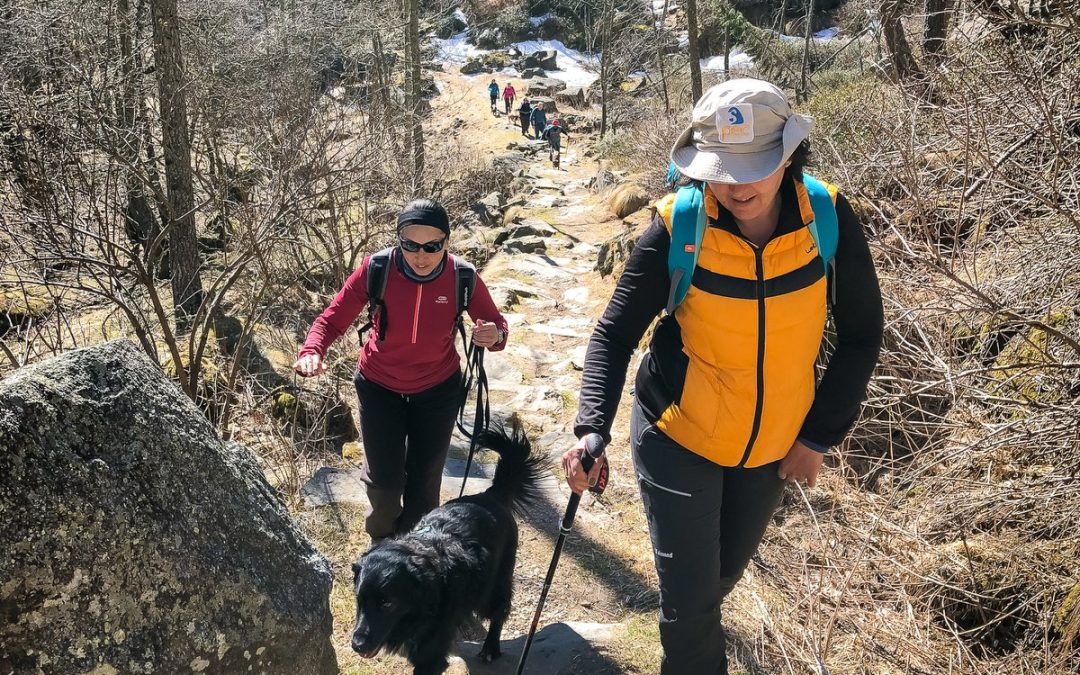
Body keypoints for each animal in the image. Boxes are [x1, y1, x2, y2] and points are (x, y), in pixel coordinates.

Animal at [352, 423, 544, 669]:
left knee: (499, 611)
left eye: (387, 603)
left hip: (496, 583)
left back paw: (490, 648)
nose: (357, 645)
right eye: (359, 600)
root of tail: (492, 494)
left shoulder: (431, 653)